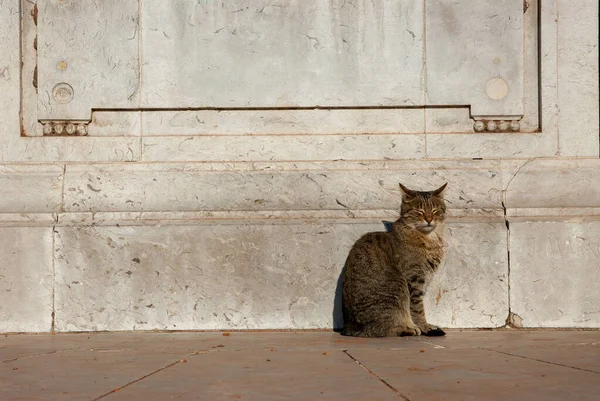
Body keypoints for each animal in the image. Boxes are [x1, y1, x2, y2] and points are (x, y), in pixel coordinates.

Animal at [340, 183, 448, 336]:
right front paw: (424, 327)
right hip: (397, 289)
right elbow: (417, 309)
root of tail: (348, 328)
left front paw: (428, 326)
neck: (430, 239)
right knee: (382, 329)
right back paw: (407, 328)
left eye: (434, 210)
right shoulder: (414, 280)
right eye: (419, 211)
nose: (429, 219)